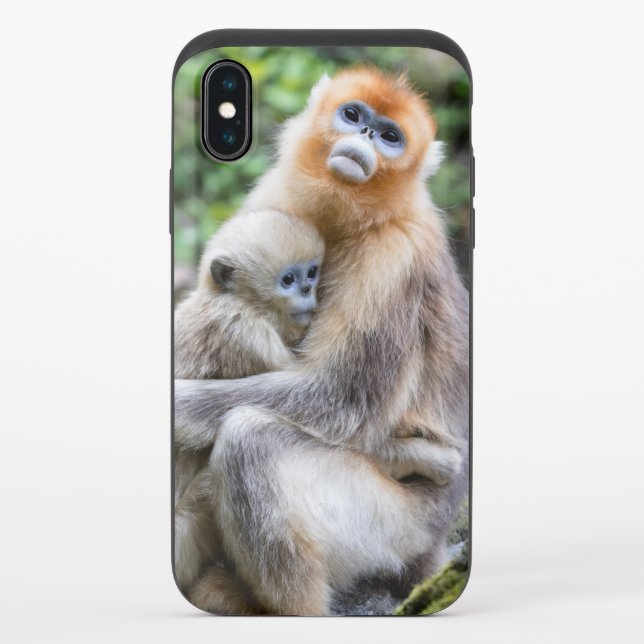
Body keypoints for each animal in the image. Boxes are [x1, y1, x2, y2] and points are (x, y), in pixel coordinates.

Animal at [174, 68, 470, 615]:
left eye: (391, 136)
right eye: (352, 115)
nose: (367, 135)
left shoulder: (394, 255)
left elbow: (342, 399)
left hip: (395, 526)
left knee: (250, 439)